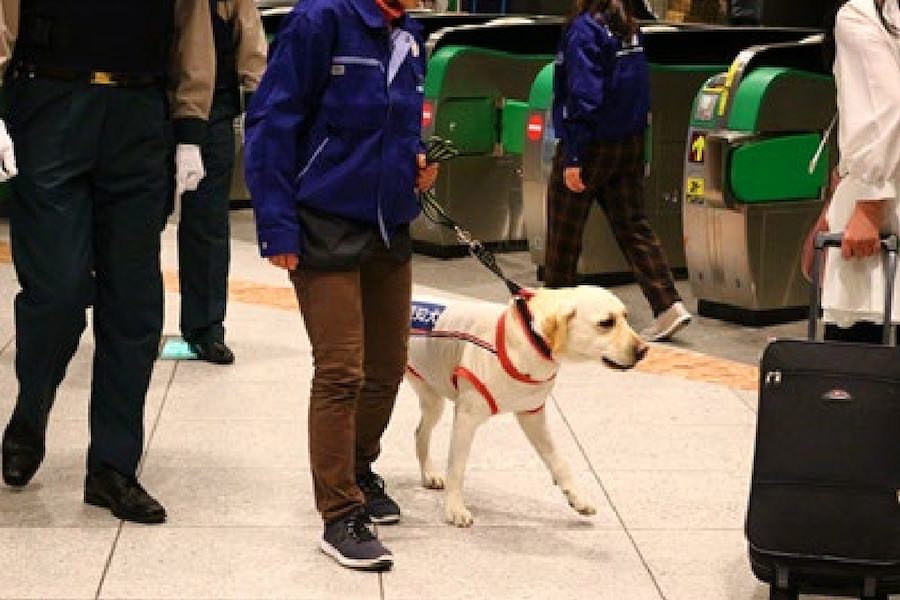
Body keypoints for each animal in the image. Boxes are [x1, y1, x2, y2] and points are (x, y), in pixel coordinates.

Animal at [408, 286, 648, 524]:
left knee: (420, 432)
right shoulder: (467, 417)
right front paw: (455, 509)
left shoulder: (532, 415)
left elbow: (559, 461)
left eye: (625, 317)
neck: (531, 338)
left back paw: (429, 474)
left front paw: (577, 498)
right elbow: (457, 467)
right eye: (606, 322)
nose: (644, 350)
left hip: (432, 398)